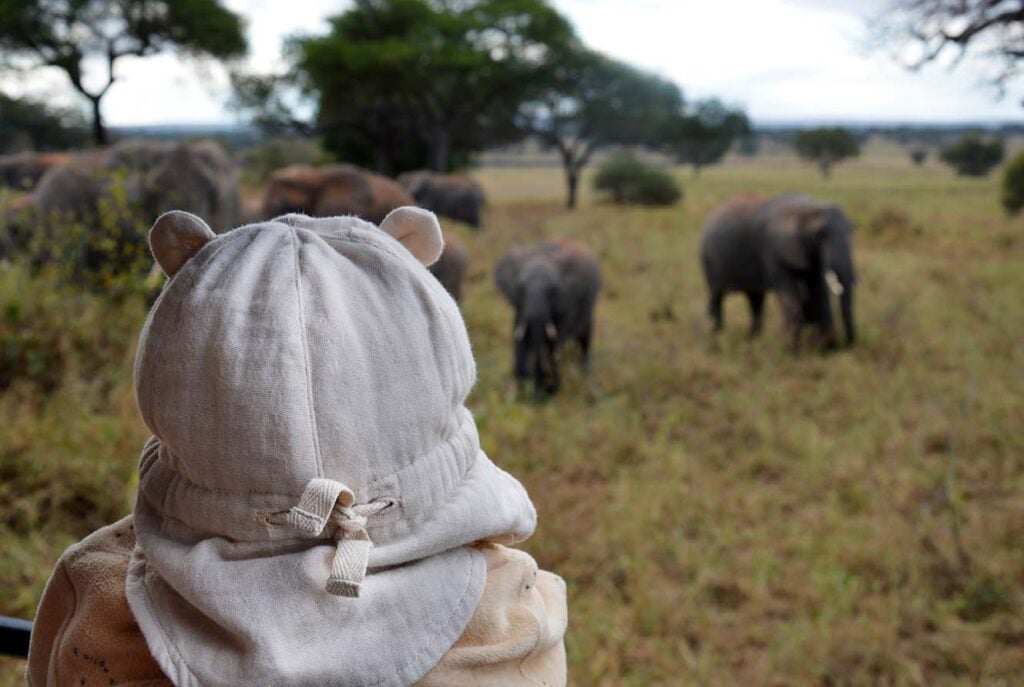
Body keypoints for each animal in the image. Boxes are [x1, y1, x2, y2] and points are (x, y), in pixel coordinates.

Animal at [493, 237, 598, 395]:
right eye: (521, 288)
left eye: (553, 291)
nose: (544, 387)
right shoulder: (519, 306)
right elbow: (519, 335)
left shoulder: (567, 302)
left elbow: (553, 341)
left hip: (588, 306)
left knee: (585, 337)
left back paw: (585, 372)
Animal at [700, 193, 860, 352]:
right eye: (819, 235)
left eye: (851, 231)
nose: (845, 345)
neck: (806, 207)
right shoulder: (774, 251)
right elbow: (789, 297)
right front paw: (792, 350)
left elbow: (817, 293)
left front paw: (821, 348)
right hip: (709, 260)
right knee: (717, 297)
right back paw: (716, 336)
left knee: (755, 299)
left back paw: (753, 341)